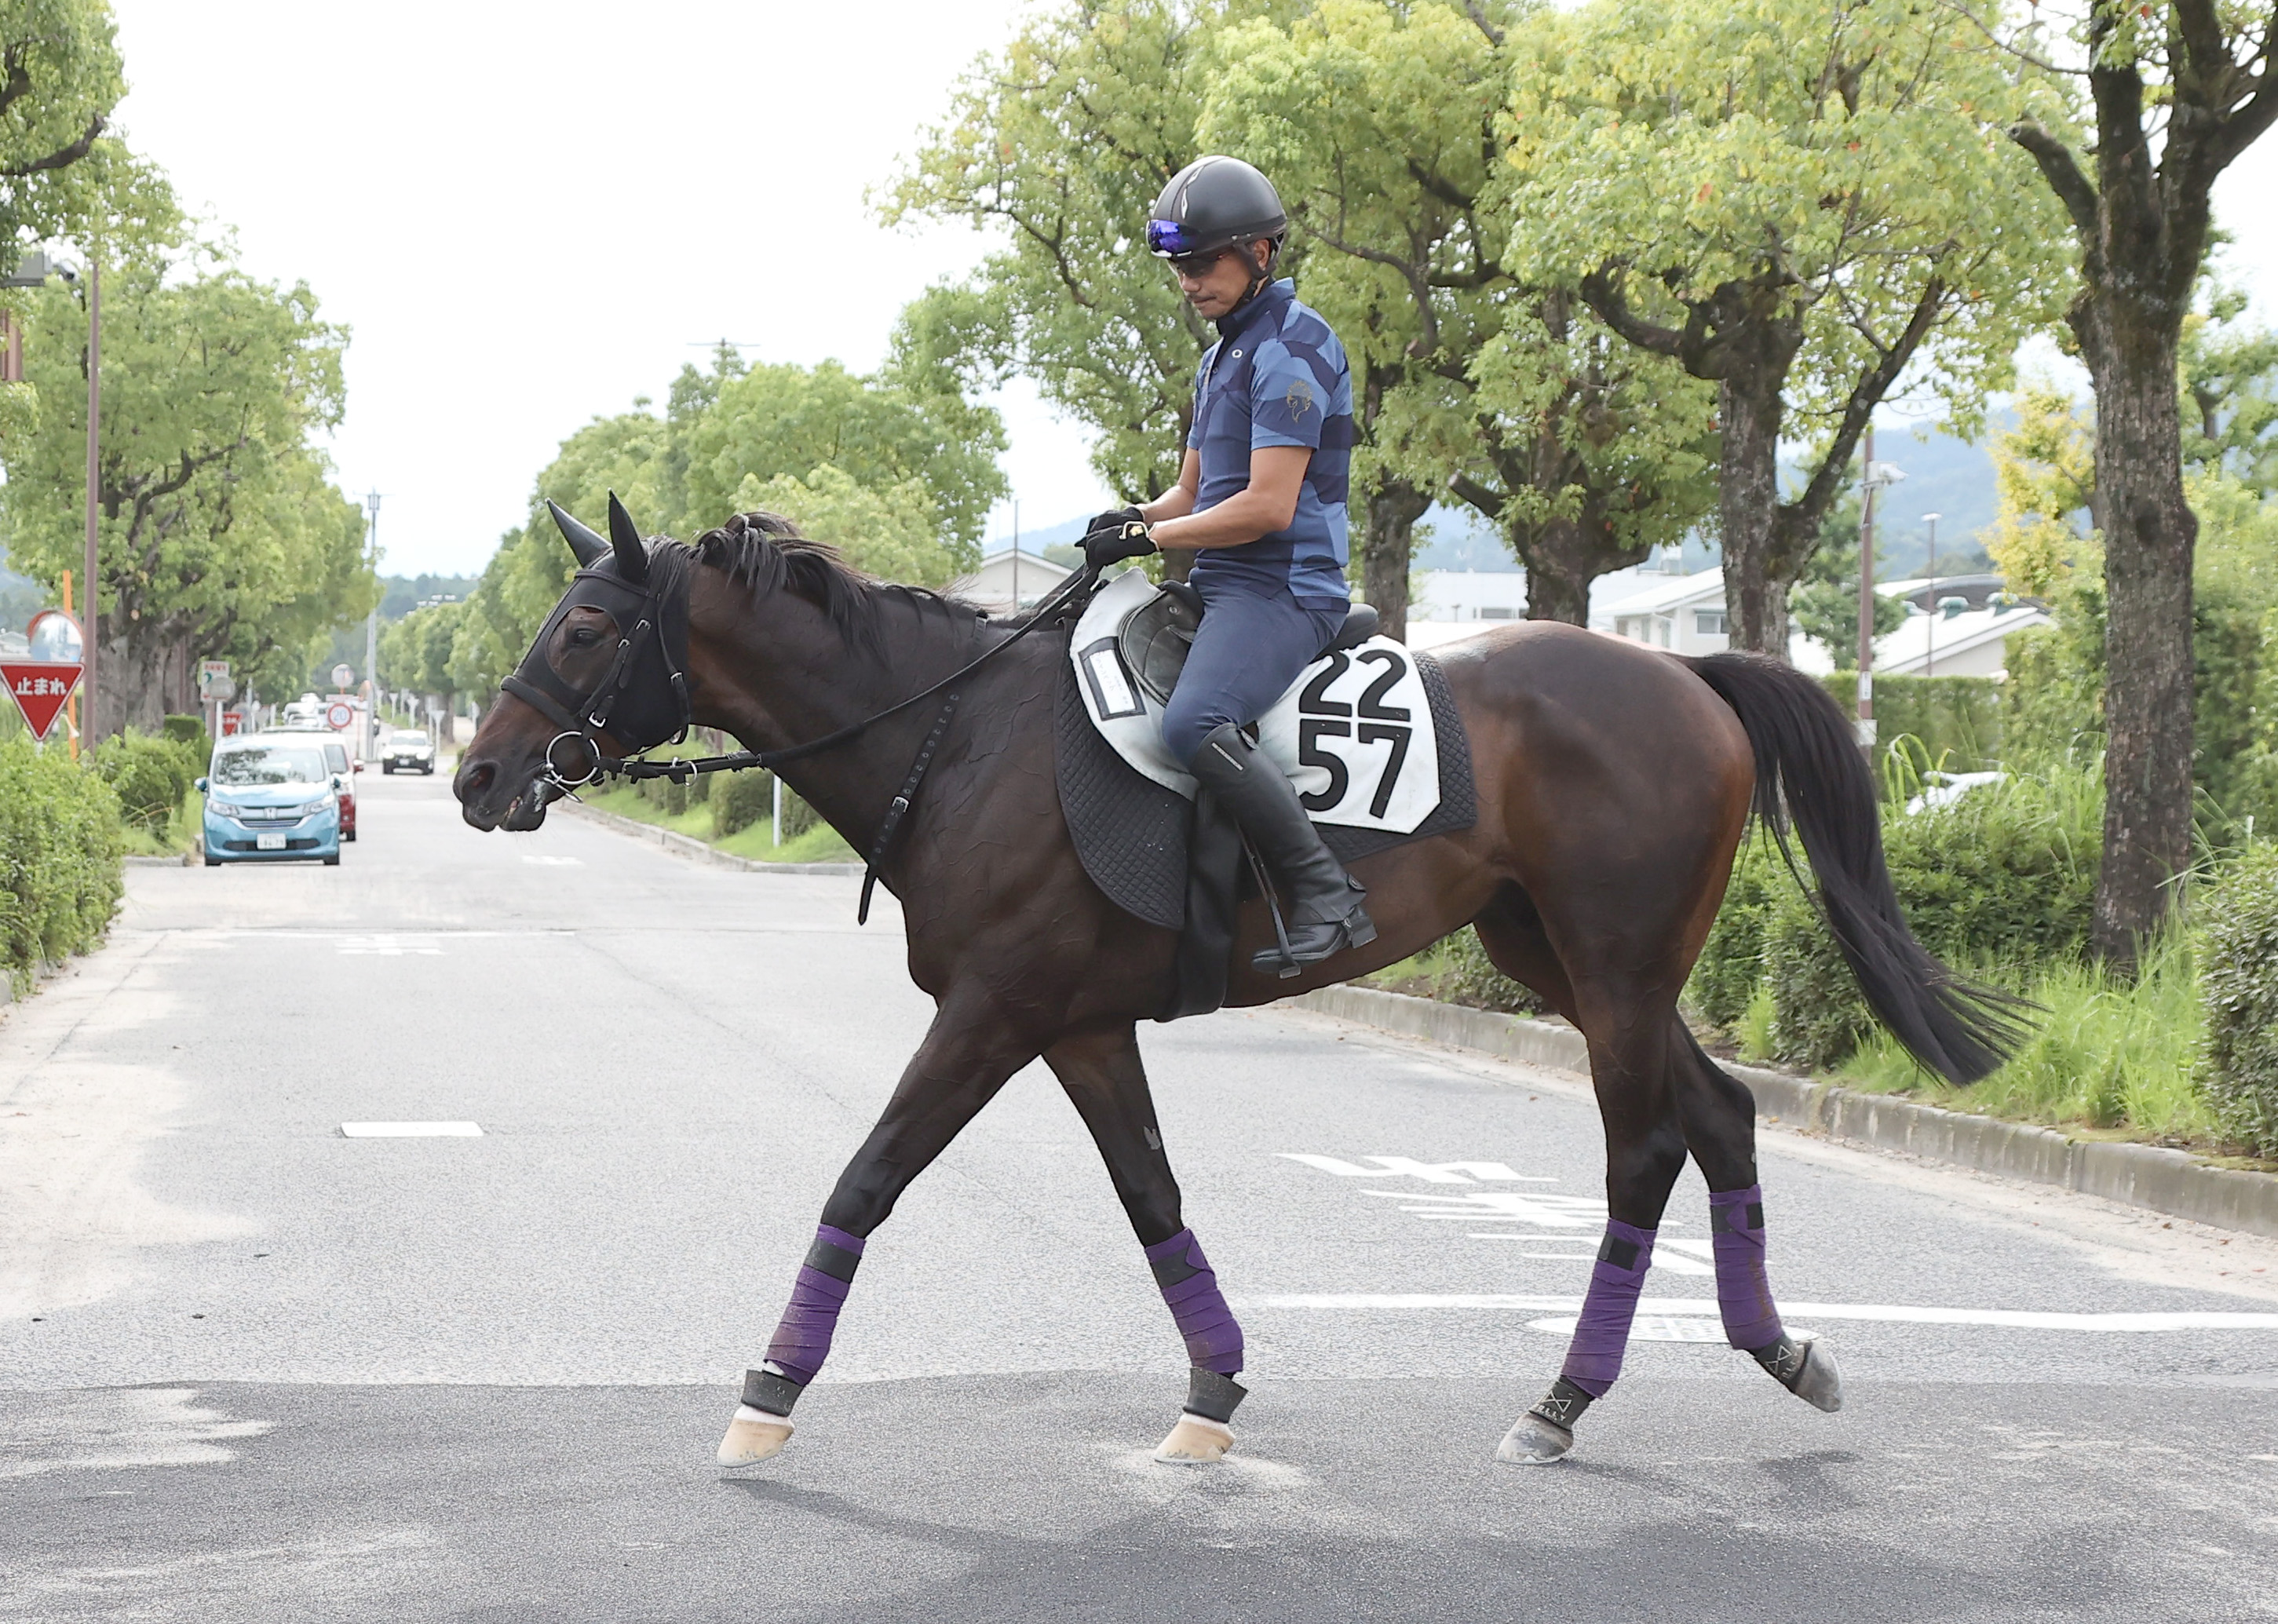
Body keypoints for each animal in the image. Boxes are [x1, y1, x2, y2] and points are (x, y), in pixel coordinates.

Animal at [453, 496, 2022, 1466]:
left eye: (584, 627)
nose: (476, 774)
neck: (961, 736)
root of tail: (1690, 676)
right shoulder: (1079, 1023)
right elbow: (1152, 1198)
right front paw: (1211, 1390)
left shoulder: (993, 1011)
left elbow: (866, 1175)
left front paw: (770, 1390)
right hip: (1561, 960)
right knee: (1721, 1117)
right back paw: (1776, 1350)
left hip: (1616, 970)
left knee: (1643, 1153)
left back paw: (1564, 1398)